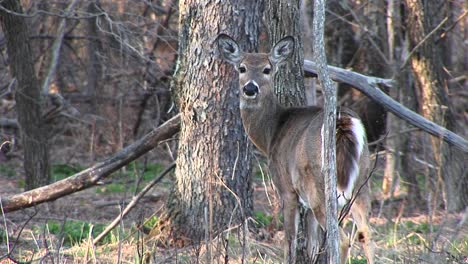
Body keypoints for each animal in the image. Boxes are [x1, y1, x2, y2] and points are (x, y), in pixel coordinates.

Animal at [217, 33, 376, 264]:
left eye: (267, 69)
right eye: (242, 67)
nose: (250, 89)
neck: (271, 133)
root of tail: (343, 120)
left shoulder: (287, 188)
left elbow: (290, 240)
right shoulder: (306, 204)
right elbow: (312, 245)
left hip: (320, 186)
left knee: (343, 239)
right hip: (362, 180)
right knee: (367, 234)